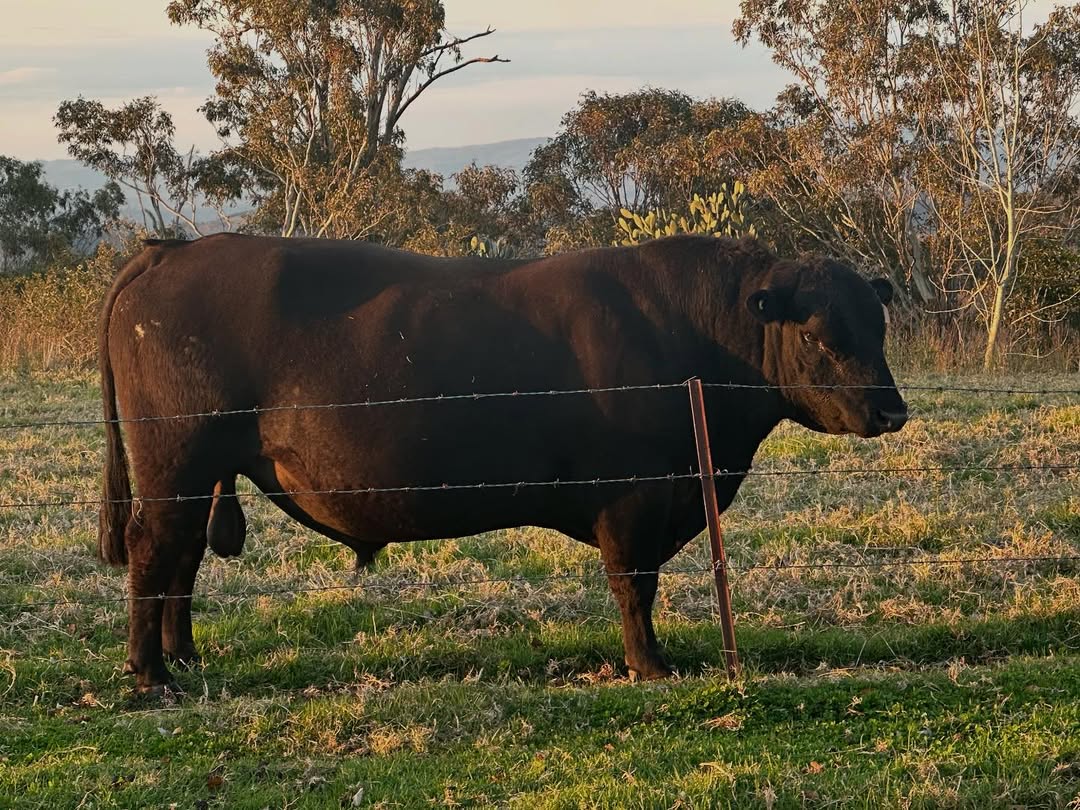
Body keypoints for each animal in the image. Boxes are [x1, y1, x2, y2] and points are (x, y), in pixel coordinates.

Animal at [97, 233, 908, 693]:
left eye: (877, 325)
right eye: (822, 336)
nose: (891, 412)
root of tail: (173, 247)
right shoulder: (634, 497)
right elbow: (633, 585)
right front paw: (649, 665)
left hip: (195, 473)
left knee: (180, 559)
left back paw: (182, 656)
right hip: (175, 459)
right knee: (152, 549)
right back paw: (150, 675)